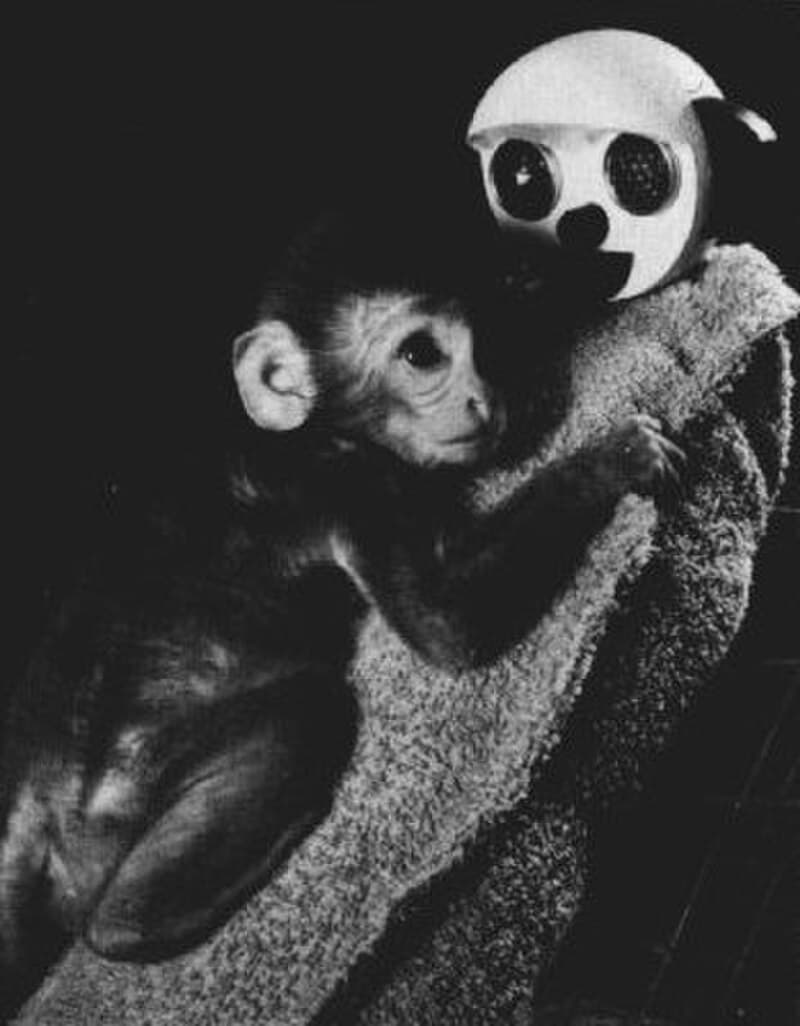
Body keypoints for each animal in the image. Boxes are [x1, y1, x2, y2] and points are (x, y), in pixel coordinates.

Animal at [0, 208, 682, 1020]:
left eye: (488, 338)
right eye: (422, 353)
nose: (483, 399)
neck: (308, 426)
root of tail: (36, 802)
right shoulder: (349, 481)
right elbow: (446, 626)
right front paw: (612, 460)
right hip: (122, 797)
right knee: (307, 715)